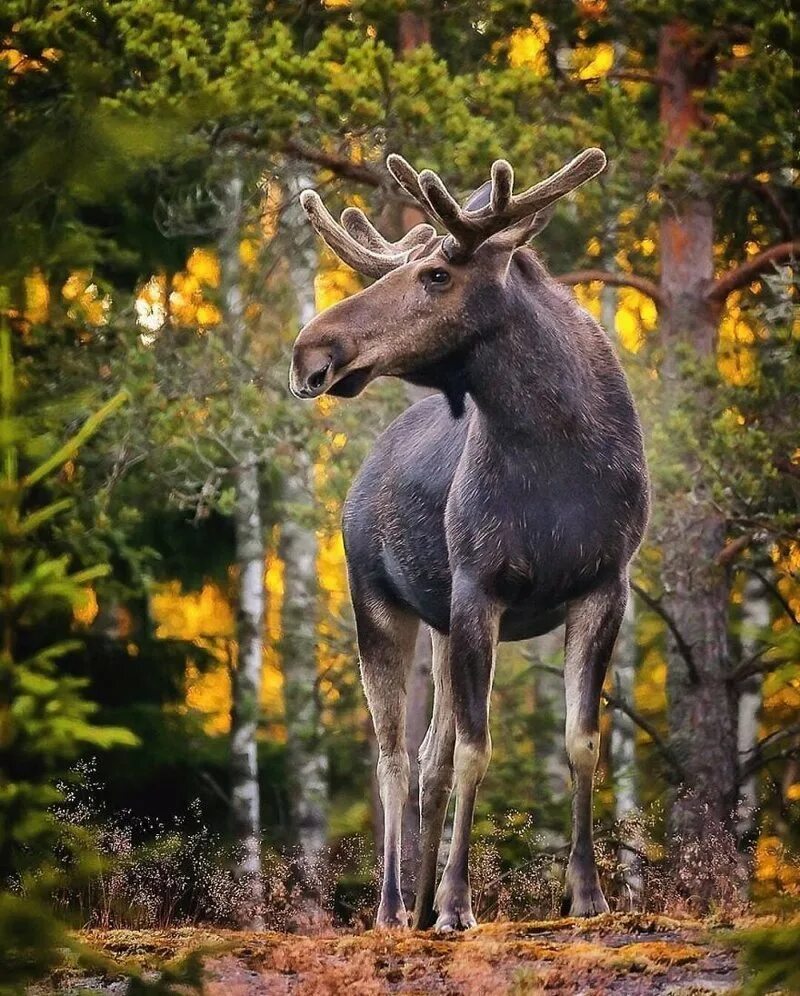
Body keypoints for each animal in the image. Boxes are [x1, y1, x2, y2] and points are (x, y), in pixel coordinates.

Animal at [288, 150, 648, 932]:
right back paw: (397, 906)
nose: (308, 351)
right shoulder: (480, 584)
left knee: (428, 757)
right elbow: (478, 752)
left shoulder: (605, 583)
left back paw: (418, 901)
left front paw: (588, 894)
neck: (557, 459)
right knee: (394, 758)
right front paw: (457, 904)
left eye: (436, 274)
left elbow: (581, 741)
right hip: (377, 601)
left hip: (441, 621)